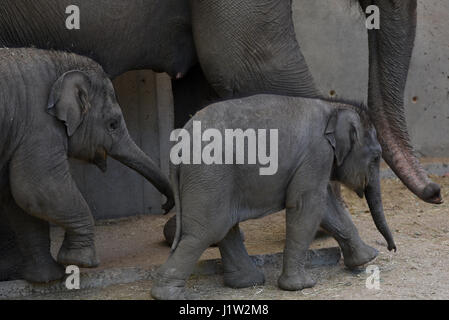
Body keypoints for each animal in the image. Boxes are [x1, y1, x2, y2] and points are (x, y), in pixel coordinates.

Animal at [0, 48, 173, 282]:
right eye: (113, 124)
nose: (165, 207)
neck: (59, 61)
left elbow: (20, 200)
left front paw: (48, 278)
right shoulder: (38, 125)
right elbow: (35, 187)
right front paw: (79, 262)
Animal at [151, 94, 396, 298]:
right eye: (376, 157)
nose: (392, 248)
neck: (333, 106)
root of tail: (177, 146)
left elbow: (326, 206)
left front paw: (367, 258)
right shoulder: (317, 153)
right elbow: (307, 206)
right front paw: (301, 286)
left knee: (225, 226)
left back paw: (247, 282)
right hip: (209, 175)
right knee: (206, 231)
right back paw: (167, 295)